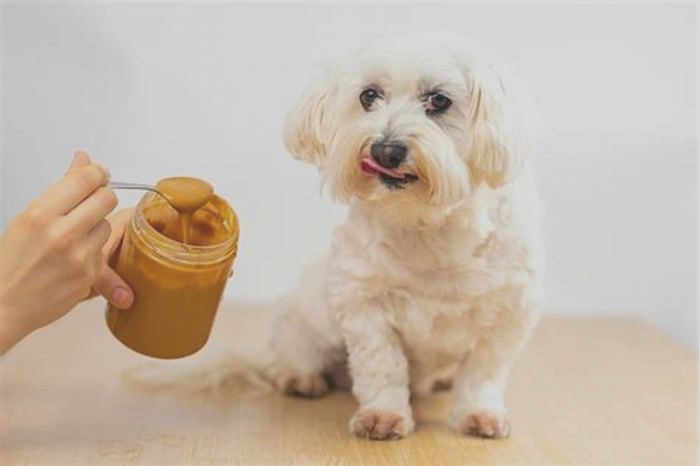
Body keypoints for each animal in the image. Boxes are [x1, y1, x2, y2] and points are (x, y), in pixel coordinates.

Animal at [135, 31, 540, 440]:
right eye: (369, 96)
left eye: (439, 100)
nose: (386, 149)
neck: (425, 227)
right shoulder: (365, 307)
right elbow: (383, 366)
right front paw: (383, 415)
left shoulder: (510, 315)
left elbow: (482, 373)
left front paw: (479, 413)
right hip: (303, 328)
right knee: (289, 361)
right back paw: (300, 379)